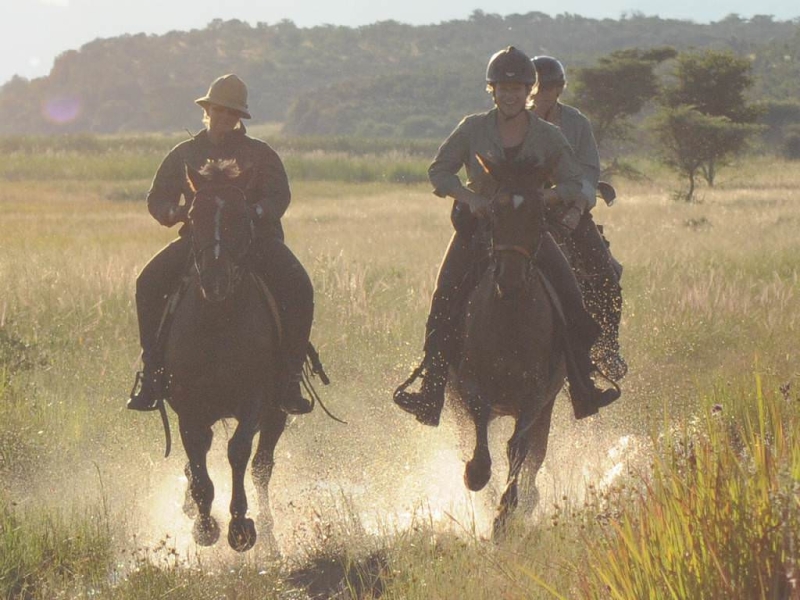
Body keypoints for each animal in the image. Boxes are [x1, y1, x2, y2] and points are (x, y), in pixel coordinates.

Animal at [163, 159, 288, 552]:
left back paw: (269, 536)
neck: (217, 322)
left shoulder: (253, 400)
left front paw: (240, 527)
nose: (215, 280)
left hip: (277, 412)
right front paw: (204, 526)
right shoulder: (188, 406)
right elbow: (197, 456)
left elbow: (238, 451)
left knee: (262, 466)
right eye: (192, 214)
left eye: (242, 215)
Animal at [454, 154, 564, 536]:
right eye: (494, 212)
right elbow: (479, 443)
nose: (511, 279)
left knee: (534, 453)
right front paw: (476, 476)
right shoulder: (469, 387)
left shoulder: (535, 397)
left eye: (540, 214)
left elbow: (519, 450)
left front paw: (506, 513)